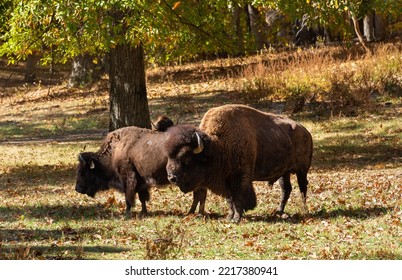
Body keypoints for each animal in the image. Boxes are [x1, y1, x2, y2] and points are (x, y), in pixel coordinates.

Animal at [75, 117, 207, 218]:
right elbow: (142, 197)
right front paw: (143, 212)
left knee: (199, 194)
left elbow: (129, 197)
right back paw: (193, 213)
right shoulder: (141, 181)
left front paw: (127, 213)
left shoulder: (128, 179)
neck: (115, 151)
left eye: (84, 171)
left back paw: (195, 213)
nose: (77, 188)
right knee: (200, 194)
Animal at [163, 104, 314, 222]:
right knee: (286, 189)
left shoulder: (240, 177)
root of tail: (306, 131)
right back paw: (279, 212)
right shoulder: (226, 180)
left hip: (302, 170)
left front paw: (237, 218)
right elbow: (230, 199)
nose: (172, 177)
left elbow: (238, 196)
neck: (216, 147)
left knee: (302, 188)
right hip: (284, 172)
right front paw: (229, 216)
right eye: (170, 157)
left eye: (186, 159)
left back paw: (304, 210)